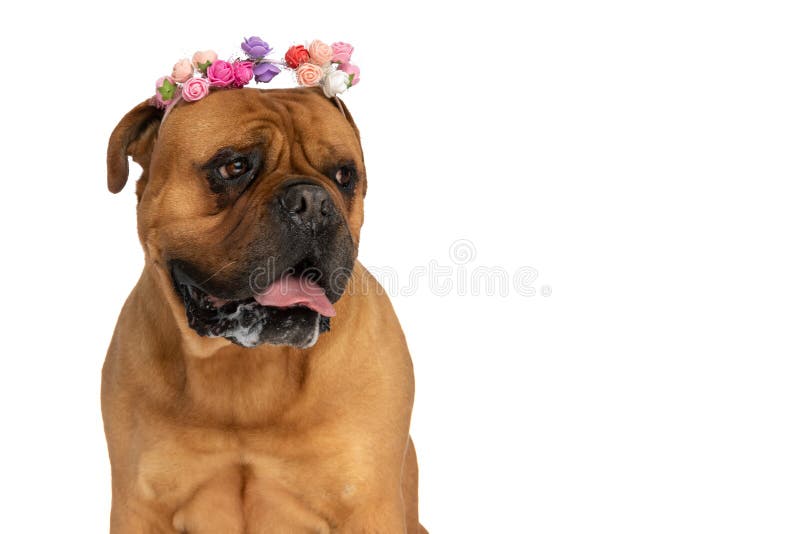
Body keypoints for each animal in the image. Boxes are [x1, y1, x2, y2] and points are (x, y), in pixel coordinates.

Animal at [101, 86, 424, 532]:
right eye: (234, 166)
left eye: (344, 175)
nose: (313, 201)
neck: (246, 366)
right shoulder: (139, 507)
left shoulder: (369, 508)